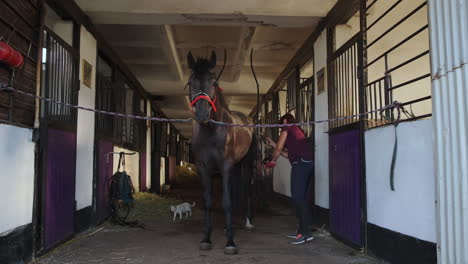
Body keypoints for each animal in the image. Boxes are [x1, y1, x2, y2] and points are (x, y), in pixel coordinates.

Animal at [186, 50, 254, 255]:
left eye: (214, 82)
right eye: (190, 82)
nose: (202, 114)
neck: (211, 131)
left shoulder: (225, 167)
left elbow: (226, 201)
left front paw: (230, 242)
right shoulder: (204, 168)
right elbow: (208, 200)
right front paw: (206, 239)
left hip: (247, 164)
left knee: (246, 189)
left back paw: (247, 223)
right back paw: (226, 227)